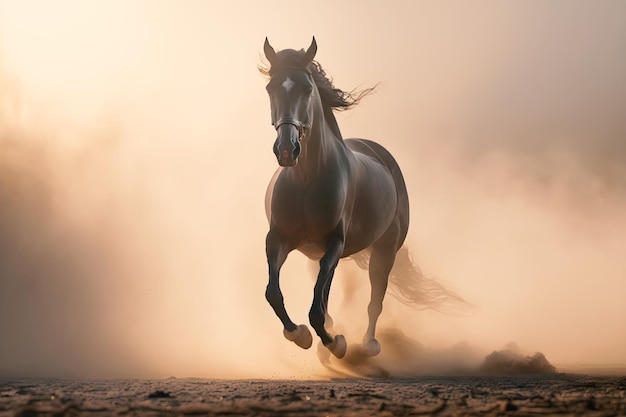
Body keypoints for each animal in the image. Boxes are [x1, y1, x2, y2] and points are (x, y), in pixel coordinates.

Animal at [258, 37, 458, 360]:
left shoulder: (334, 243)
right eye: (270, 88)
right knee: (326, 292)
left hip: (384, 250)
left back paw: (367, 345)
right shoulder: (278, 239)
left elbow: (316, 310)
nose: (287, 150)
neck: (306, 181)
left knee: (374, 300)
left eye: (307, 89)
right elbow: (274, 293)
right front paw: (300, 335)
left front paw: (336, 343)